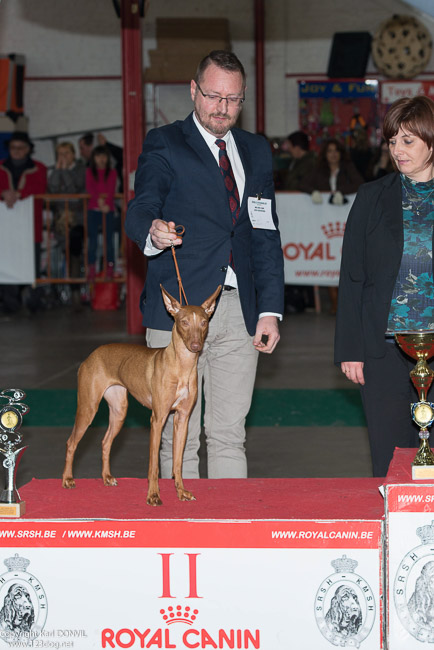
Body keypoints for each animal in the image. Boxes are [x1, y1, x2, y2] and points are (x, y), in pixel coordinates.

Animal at [62, 284, 220, 506]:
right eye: (184, 322)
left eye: (204, 322)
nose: (196, 346)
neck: (182, 366)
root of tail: (92, 355)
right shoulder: (157, 419)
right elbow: (153, 465)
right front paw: (153, 495)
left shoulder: (182, 419)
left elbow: (178, 463)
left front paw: (181, 491)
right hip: (88, 408)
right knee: (71, 442)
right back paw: (67, 479)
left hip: (119, 411)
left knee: (105, 442)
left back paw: (106, 477)